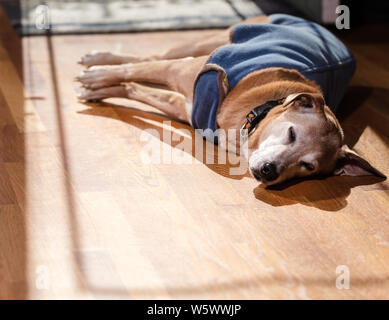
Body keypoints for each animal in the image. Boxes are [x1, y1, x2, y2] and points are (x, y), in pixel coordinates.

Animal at [76, 14, 384, 185]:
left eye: (308, 166)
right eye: (291, 133)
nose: (270, 171)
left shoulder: (185, 107)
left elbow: (132, 87)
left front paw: (97, 90)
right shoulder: (182, 71)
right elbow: (134, 71)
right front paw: (97, 76)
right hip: (207, 43)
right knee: (151, 57)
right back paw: (97, 60)